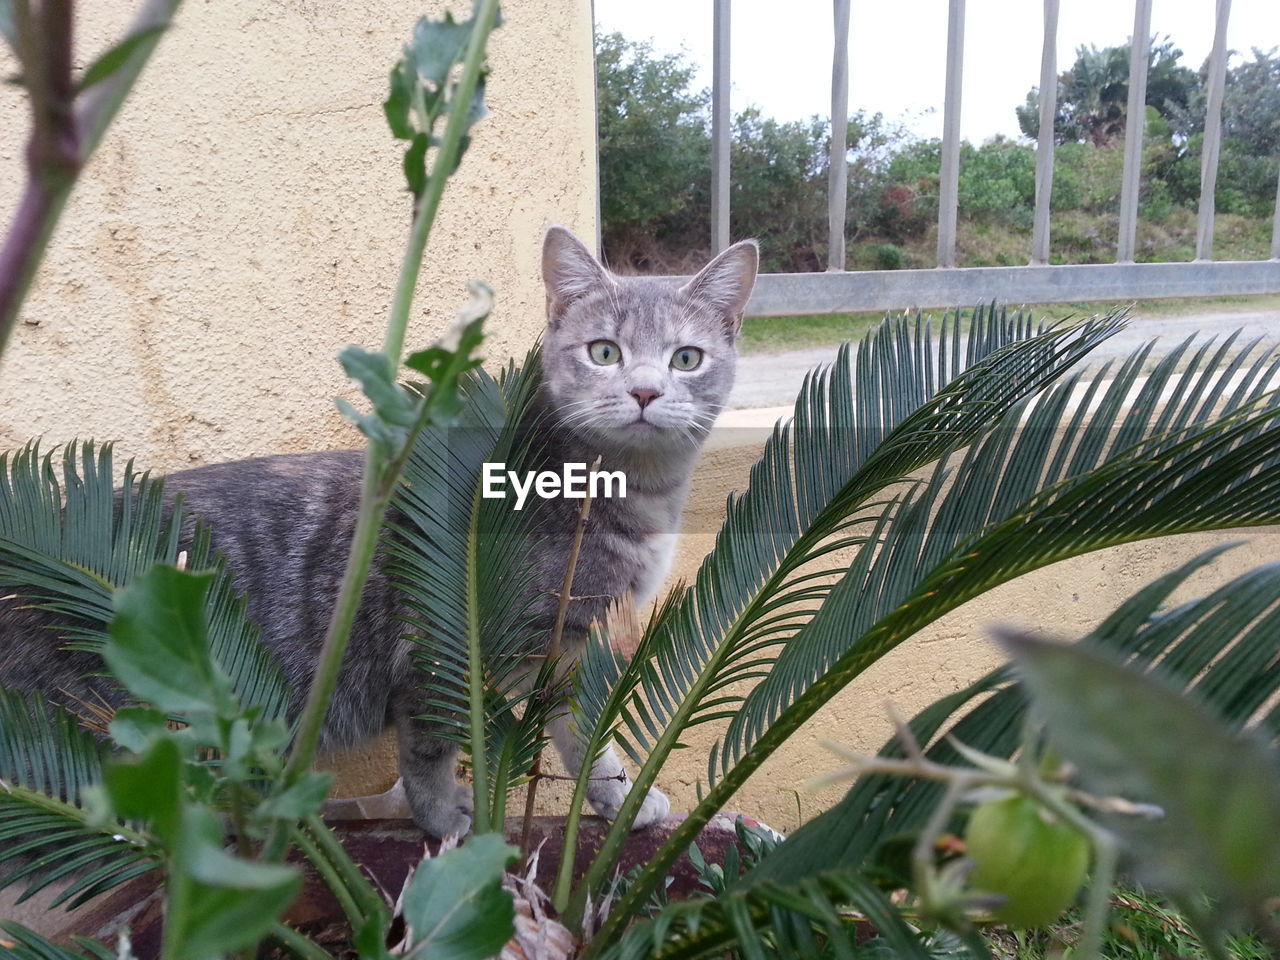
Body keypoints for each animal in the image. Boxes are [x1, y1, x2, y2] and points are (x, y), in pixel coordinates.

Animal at [2, 229, 757, 839]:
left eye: (686, 359)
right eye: (604, 351)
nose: (645, 391)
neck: (630, 493)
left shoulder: (568, 648)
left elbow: (583, 733)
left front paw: (617, 795)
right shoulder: (439, 642)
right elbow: (429, 747)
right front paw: (444, 816)